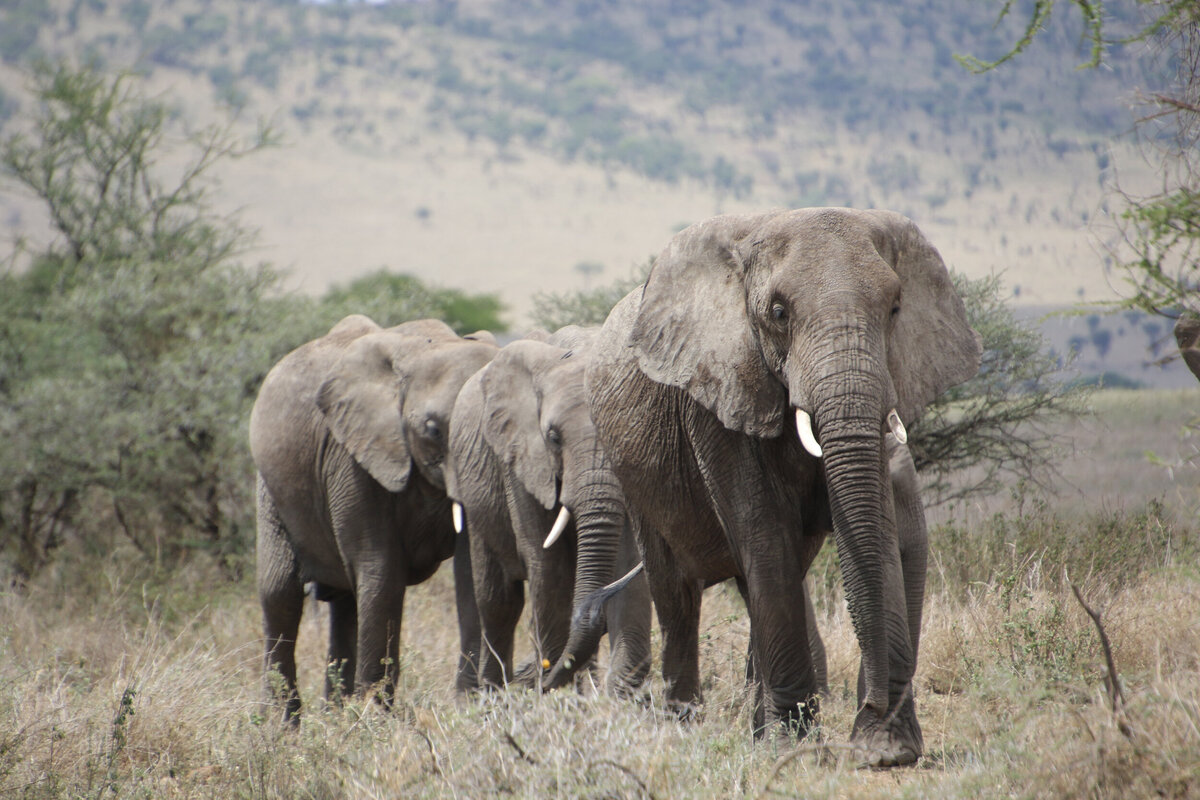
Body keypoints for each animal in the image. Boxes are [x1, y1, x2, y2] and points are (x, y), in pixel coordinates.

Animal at [250, 314, 499, 719]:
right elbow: (380, 569)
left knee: (346, 601)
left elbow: (471, 572)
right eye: (433, 430)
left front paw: (469, 708)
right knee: (279, 593)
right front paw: (376, 719)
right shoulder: (352, 455)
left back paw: (335, 717)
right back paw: (280, 724)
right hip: (269, 487)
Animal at [446, 328, 652, 695]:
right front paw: (557, 692)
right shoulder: (521, 460)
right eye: (554, 438)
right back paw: (491, 696)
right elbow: (547, 562)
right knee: (498, 601)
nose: (538, 678)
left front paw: (620, 698)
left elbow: (629, 558)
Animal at [583, 209, 984, 767]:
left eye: (895, 308)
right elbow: (764, 531)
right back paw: (684, 724)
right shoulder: (718, 391)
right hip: (635, 475)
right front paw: (792, 748)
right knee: (677, 592)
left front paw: (885, 749)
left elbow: (873, 529)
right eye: (778, 312)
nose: (873, 708)